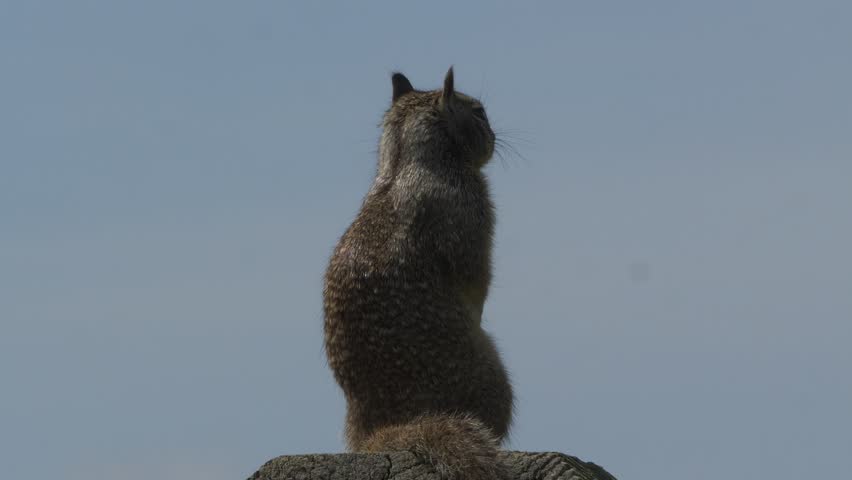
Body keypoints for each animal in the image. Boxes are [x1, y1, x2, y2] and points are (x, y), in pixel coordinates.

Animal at [323, 67, 514, 480]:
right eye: (478, 112)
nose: (494, 137)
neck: (402, 163)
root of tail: (381, 430)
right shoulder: (472, 215)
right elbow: (476, 279)